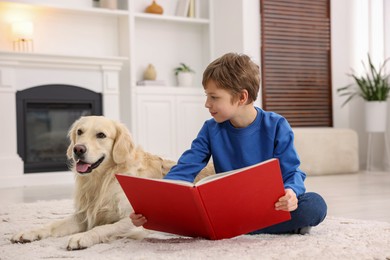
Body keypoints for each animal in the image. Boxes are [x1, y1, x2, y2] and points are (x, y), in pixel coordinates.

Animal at [11, 116, 213, 250]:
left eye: (101, 135)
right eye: (80, 132)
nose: (78, 149)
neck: (104, 179)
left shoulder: (134, 219)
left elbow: (104, 227)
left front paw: (82, 237)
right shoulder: (83, 215)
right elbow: (53, 224)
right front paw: (29, 232)